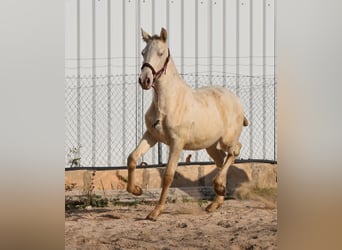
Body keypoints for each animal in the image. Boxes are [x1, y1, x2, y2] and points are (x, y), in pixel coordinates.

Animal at [126, 26, 248, 220]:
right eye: (143, 52)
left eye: (161, 53)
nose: (145, 80)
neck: (167, 103)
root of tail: (236, 100)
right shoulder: (151, 136)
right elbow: (132, 158)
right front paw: (136, 190)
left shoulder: (177, 143)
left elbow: (168, 176)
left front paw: (155, 212)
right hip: (210, 145)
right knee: (221, 160)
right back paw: (216, 201)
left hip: (226, 140)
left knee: (235, 150)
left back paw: (219, 187)